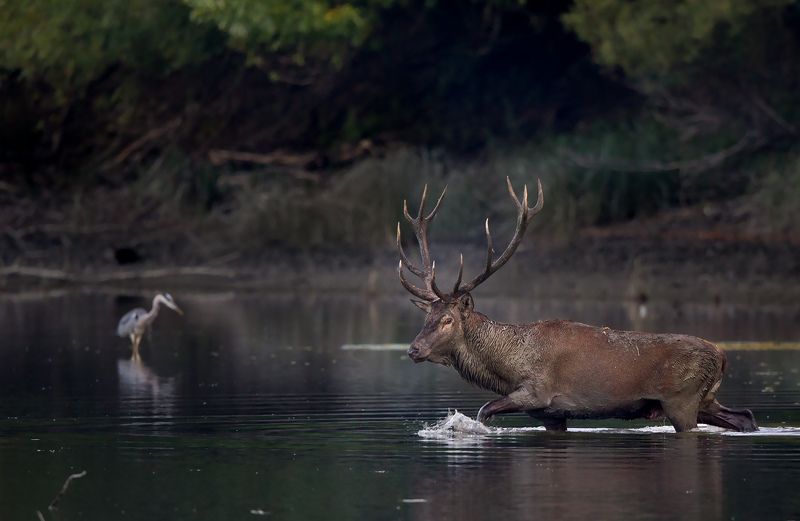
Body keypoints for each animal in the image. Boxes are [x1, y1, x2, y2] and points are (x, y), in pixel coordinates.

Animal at [397, 178, 758, 433]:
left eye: (447, 319)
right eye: (427, 316)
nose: (413, 349)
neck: (506, 366)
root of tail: (722, 356)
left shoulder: (537, 392)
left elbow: (484, 410)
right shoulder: (551, 415)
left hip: (681, 399)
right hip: (705, 398)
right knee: (745, 416)